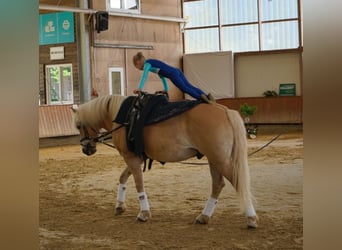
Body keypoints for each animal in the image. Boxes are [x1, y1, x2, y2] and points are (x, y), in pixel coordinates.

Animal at [73, 94, 260, 229]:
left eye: (78, 125)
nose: (86, 149)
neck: (122, 117)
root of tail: (223, 110)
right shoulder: (136, 158)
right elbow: (123, 178)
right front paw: (120, 206)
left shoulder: (131, 158)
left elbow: (138, 183)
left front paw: (144, 213)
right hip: (213, 159)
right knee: (218, 184)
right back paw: (204, 216)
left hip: (219, 159)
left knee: (236, 182)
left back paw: (251, 218)